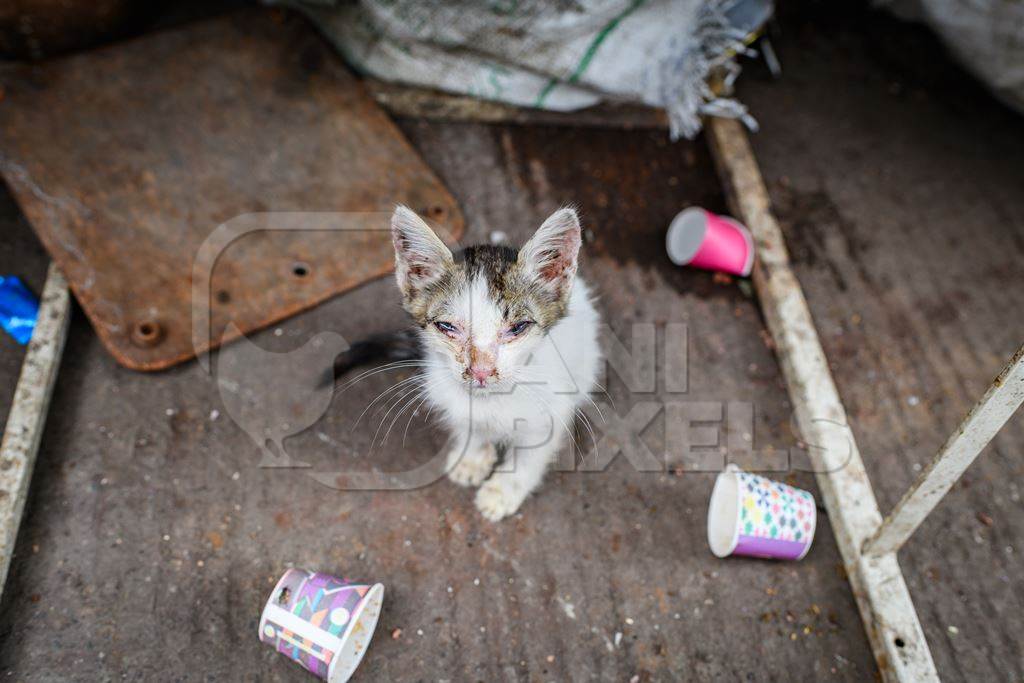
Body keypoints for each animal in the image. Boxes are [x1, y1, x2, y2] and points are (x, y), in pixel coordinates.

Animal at [339, 205, 602, 520]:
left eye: (518, 327)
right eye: (446, 326)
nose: (481, 371)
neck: (493, 401)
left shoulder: (551, 411)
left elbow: (530, 456)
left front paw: (503, 492)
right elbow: (469, 425)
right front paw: (472, 458)